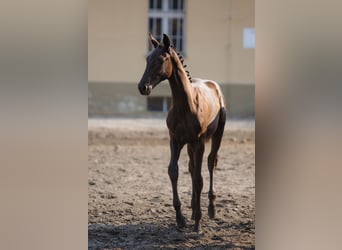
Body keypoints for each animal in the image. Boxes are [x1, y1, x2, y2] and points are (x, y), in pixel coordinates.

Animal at [138, 33, 226, 232]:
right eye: (147, 59)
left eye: (161, 60)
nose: (142, 87)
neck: (185, 105)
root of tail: (214, 85)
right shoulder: (175, 140)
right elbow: (174, 171)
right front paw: (181, 218)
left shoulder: (199, 142)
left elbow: (199, 179)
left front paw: (198, 223)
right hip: (189, 145)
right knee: (192, 168)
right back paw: (193, 209)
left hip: (216, 135)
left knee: (211, 163)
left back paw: (211, 209)